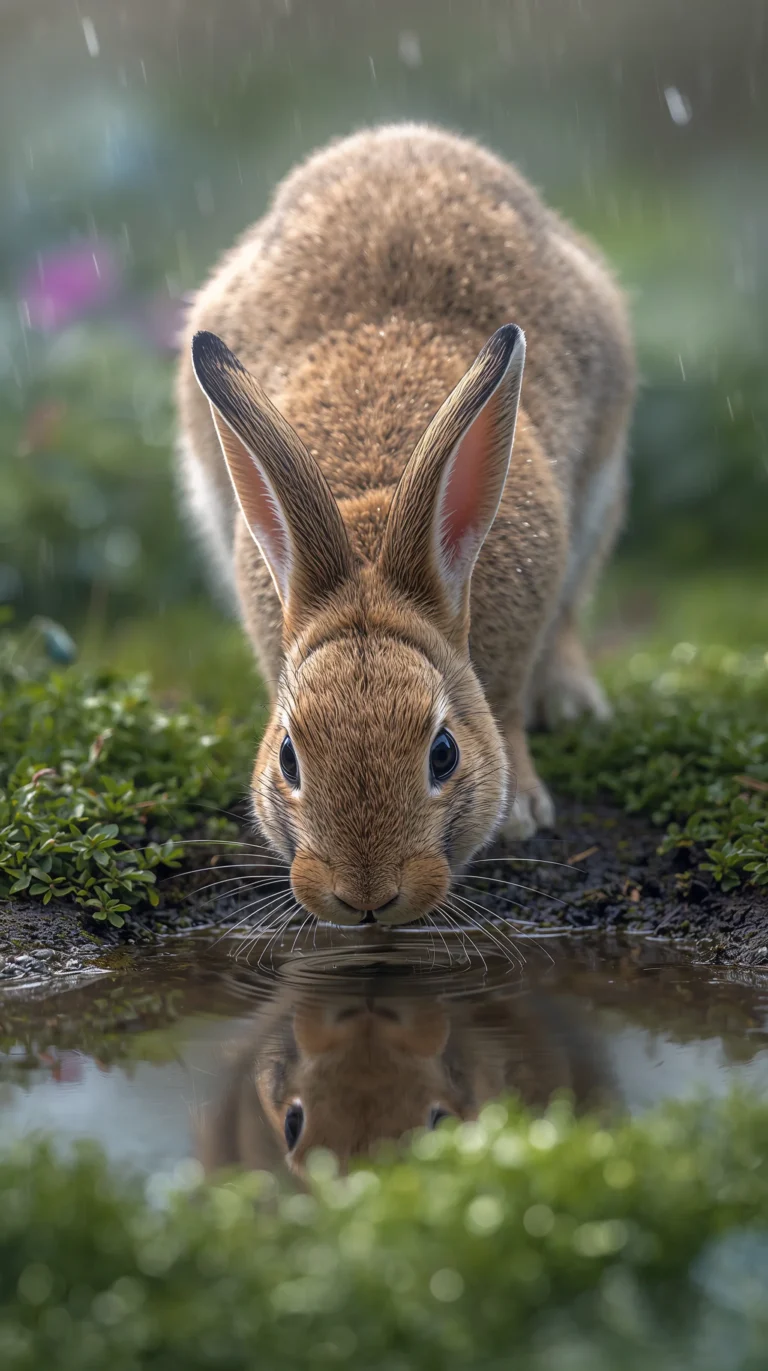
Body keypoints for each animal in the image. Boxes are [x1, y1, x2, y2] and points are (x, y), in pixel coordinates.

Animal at [176, 123, 635, 928]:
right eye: (289, 757)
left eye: (443, 753)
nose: (365, 898)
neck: (373, 526)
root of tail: (400, 137)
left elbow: (510, 698)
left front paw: (521, 811)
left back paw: (575, 707)